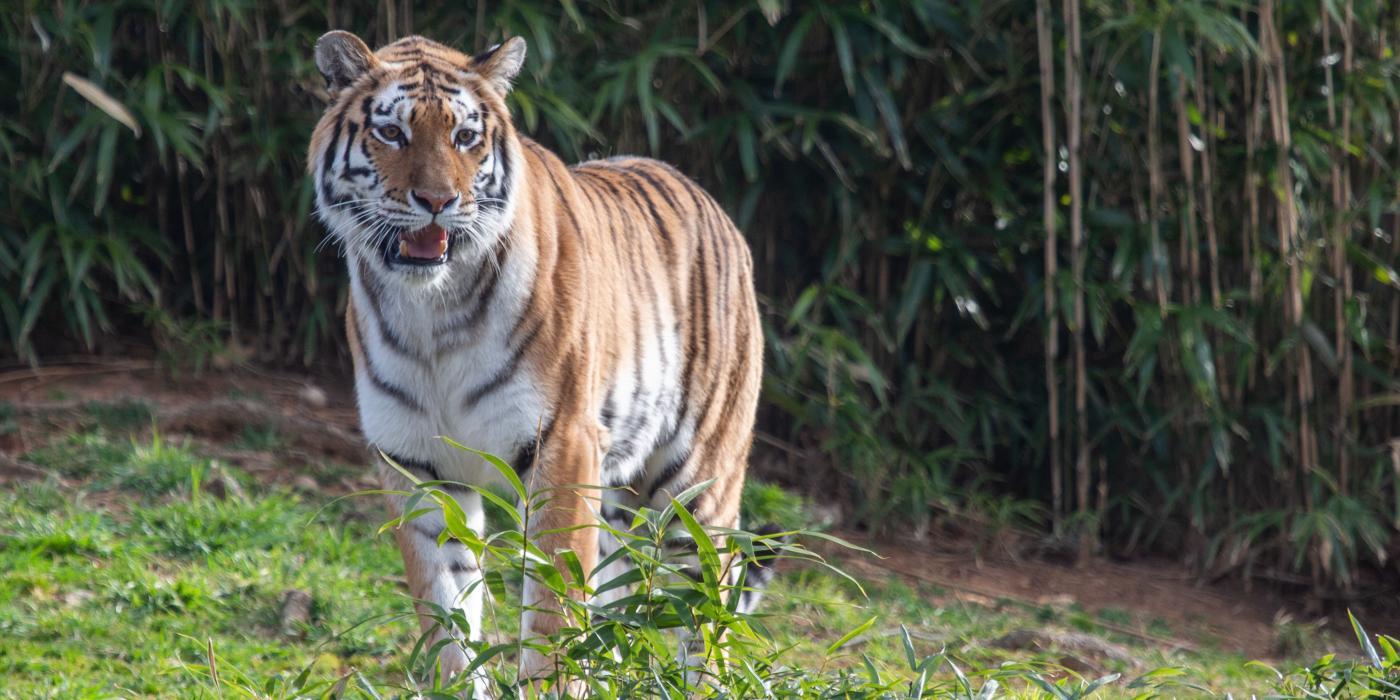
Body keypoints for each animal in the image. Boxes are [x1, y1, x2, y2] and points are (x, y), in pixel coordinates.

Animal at [306, 31, 772, 688]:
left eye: (465, 137)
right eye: (392, 133)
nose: (438, 201)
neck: (431, 313)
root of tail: (713, 204)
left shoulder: (564, 442)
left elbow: (553, 616)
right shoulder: (414, 462)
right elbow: (447, 616)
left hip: (698, 489)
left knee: (705, 623)